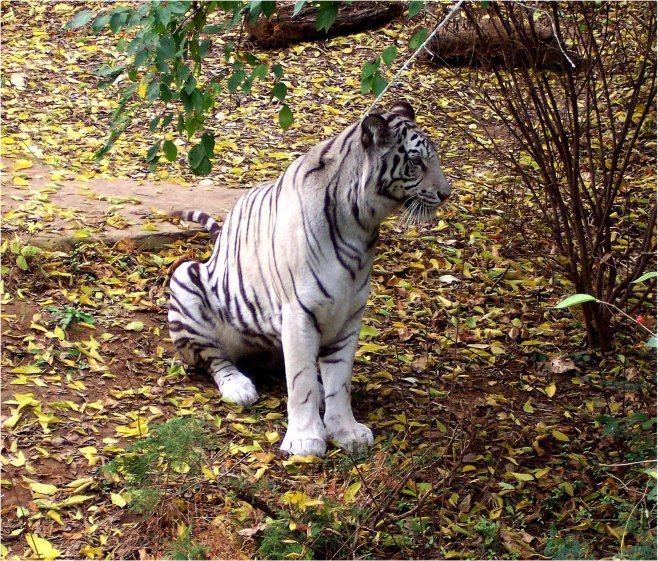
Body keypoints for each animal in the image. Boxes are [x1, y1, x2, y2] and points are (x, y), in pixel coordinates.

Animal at [167, 101, 448, 456]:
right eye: (415, 161)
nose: (446, 194)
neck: (362, 225)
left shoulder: (348, 315)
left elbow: (339, 380)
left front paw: (345, 431)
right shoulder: (299, 312)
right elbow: (300, 381)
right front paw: (305, 440)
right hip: (185, 279)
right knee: (215, 360)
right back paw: (239, 386)